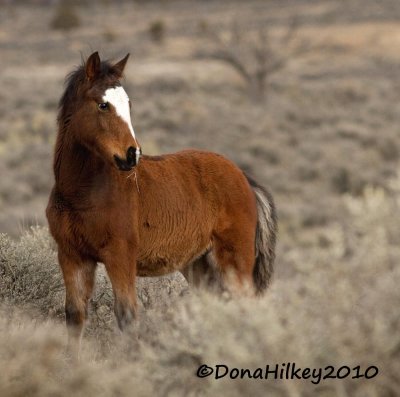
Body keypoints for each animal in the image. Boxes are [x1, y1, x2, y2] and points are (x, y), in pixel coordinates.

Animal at [45, 51, 276, 358]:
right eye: (103, 105)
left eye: (128, 104)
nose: (132, 155)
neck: (83, 193)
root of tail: (244, 178)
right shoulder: (72, 255)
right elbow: (74, 314)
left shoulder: (120, 256)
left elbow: (127, 316)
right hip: (199, 265)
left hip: (235, 261)